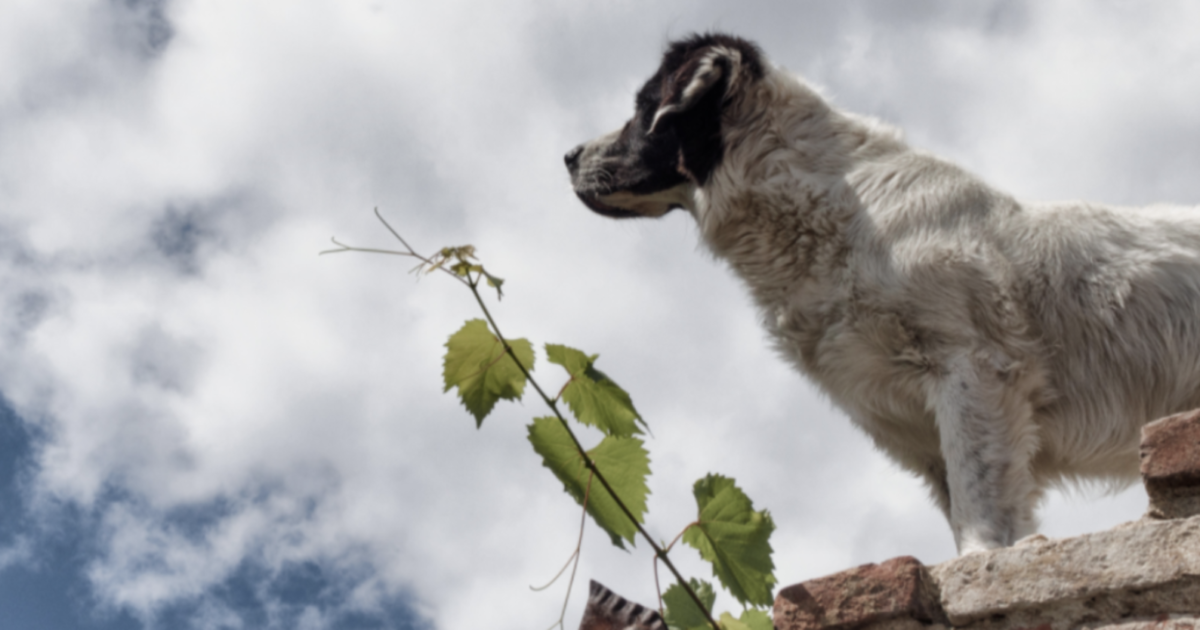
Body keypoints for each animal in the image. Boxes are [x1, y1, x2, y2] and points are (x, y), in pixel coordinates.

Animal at [566, 33, 1200, 554]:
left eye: (643, 107)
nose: (569, 156)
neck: (844, 213)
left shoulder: (973, 370)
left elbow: (979, 500)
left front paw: (982, 561)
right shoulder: (920, 427)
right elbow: (963, 498)